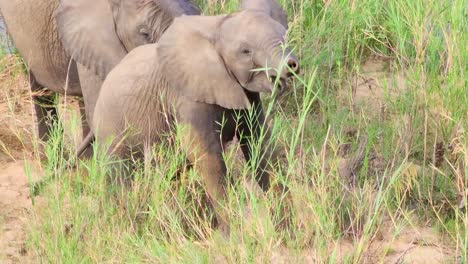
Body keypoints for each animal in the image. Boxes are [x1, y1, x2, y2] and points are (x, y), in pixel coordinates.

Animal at [80, 6, 300, 231]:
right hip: (111, 127)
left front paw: (286, 230)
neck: (216, 29)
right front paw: (233, 235)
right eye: (245, 51)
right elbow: (207, 158)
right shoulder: (186, 97)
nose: (291, 65)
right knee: (118, 178)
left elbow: (260, 147)